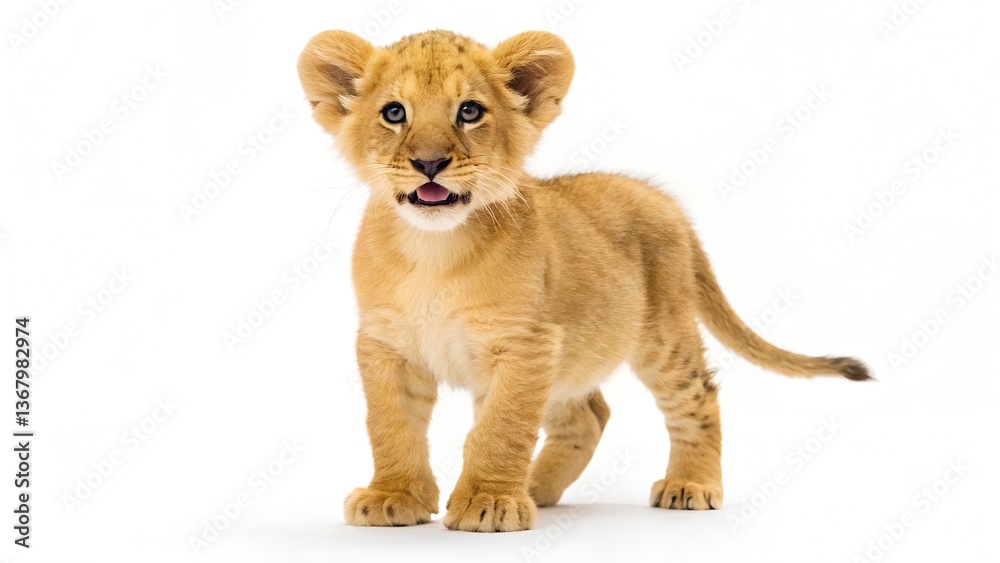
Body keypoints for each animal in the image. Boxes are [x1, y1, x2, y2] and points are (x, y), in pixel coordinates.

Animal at [297, 29, 870, 533]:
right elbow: (392, 427)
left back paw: (688, 485)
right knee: (590, 414)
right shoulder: (386, 343)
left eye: (469, 111)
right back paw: (534, 487)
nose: (430, 163)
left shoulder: (525, 343)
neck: (432, 250)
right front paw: (393, 497)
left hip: (659, 335)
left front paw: (489, 502)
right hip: (571, 354)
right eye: (394, 113)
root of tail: (661, 198)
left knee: (696, 396)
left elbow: (499, 430)